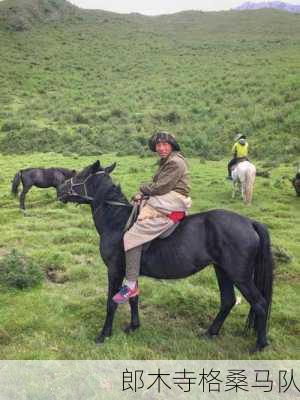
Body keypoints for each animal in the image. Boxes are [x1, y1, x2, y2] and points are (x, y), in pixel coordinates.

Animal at [56, 161, 274, 352]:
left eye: (81, 175)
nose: (59, 189)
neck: (117, 222)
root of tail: (250, 222)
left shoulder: (115, 270)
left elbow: (111, 302)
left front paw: (104, 334)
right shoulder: (131, 270)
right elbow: (133, 297)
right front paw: (134, 326)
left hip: (240, 276)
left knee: (260, 304)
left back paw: (259, 345)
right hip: (222, 271)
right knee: (228, 301)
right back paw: (210, 333)